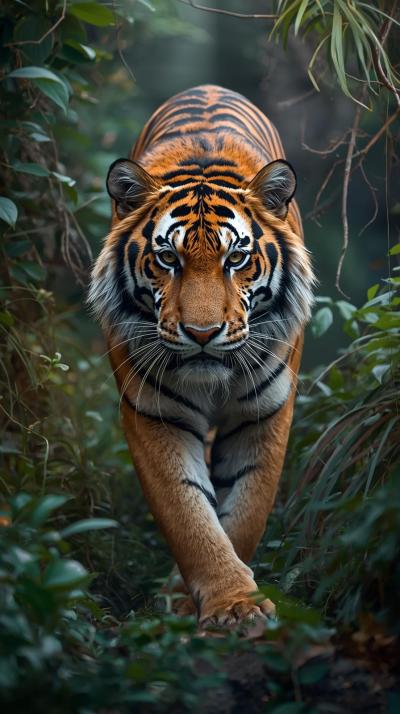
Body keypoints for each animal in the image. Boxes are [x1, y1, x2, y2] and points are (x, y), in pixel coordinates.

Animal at [89, 84, 315, 627]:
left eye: (237, 259)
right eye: (168, 259)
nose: (203, 333)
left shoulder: (264, 412)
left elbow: (245, 510)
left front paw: (238, 606)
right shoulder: (153, 413)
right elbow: (188, 512)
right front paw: (230, 603)